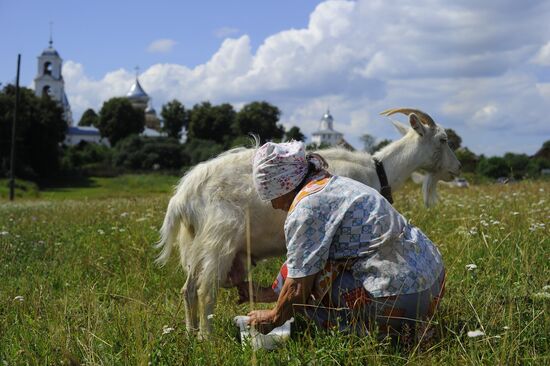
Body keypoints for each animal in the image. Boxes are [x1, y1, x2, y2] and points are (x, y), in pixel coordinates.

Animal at [157, 108, 464, 338]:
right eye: (443, 139)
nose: (457, 169)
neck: (379, 170)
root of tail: (182, 197)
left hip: (194, 244)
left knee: (188, 290)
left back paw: (190, 335)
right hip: (219, 240)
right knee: (205, 291)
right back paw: (207, 339)